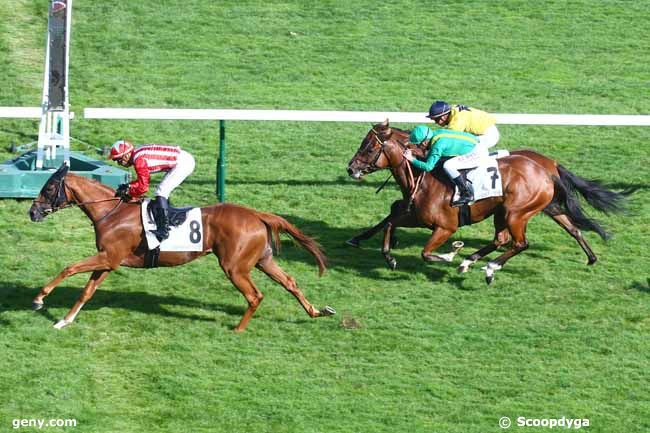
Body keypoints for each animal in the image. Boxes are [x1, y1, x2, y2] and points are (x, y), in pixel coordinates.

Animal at [27, 164, 334, 330]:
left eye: (49, 188)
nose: (32, 212)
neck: (111, 213)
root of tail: (256, 214)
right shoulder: (109, 261)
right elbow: (87, 291)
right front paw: (64, 320)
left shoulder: (108, 257)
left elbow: (69, 268)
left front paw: (40, 298)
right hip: (263, 259)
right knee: (290, 282)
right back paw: (316, 311)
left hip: (234, 267)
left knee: (255, 296)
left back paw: (238, 329)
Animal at [344, 120, 624, 284]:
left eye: (369, 148)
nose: (351, 168)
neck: (424, 177)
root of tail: (547, 168)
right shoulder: (416, 216)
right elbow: (392, 221)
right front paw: (388, 256)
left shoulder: (445, 227)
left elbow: (426, 252)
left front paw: (451, 253)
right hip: (512, 210)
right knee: (521, 235)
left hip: (516, 212)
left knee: (520, 243)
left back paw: (488, 267)